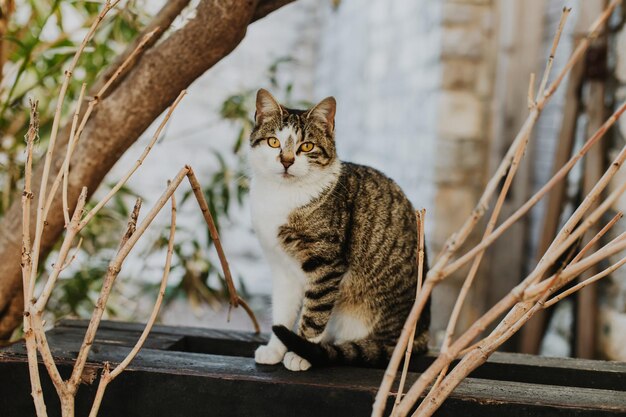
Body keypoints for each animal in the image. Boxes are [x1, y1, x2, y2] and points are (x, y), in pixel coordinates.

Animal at [249, 88, 428, 370]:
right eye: (274, 142)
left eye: (307, 146)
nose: (287, 161)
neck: (282, 196)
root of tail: (420, 334)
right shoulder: (281, 269)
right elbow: (282, 313)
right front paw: (275, 350)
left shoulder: (327, 265)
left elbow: (315, 314)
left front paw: (301, 353)